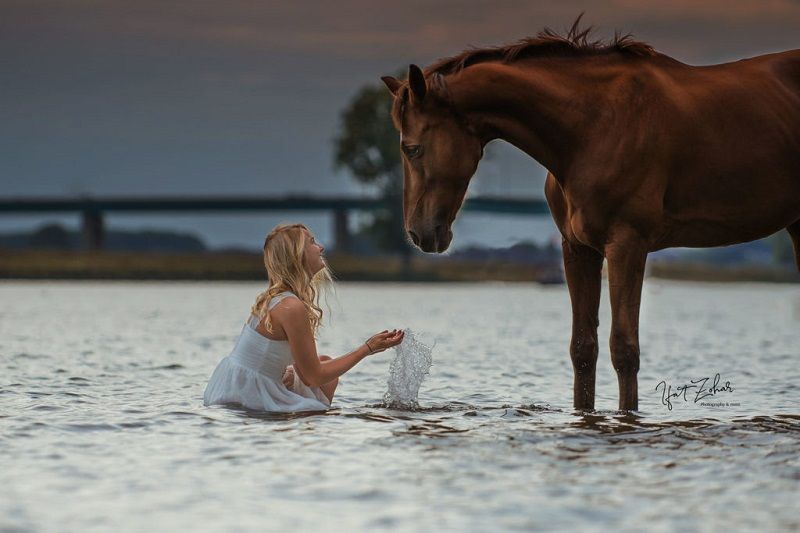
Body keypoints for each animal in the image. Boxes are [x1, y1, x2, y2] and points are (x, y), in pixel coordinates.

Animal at [382, 16, 800, 408]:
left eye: (411, 148)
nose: (419, 233)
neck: (592, 126)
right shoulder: (578, 248)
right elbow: (583, 348)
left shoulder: (627, 244)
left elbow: (624, 349)